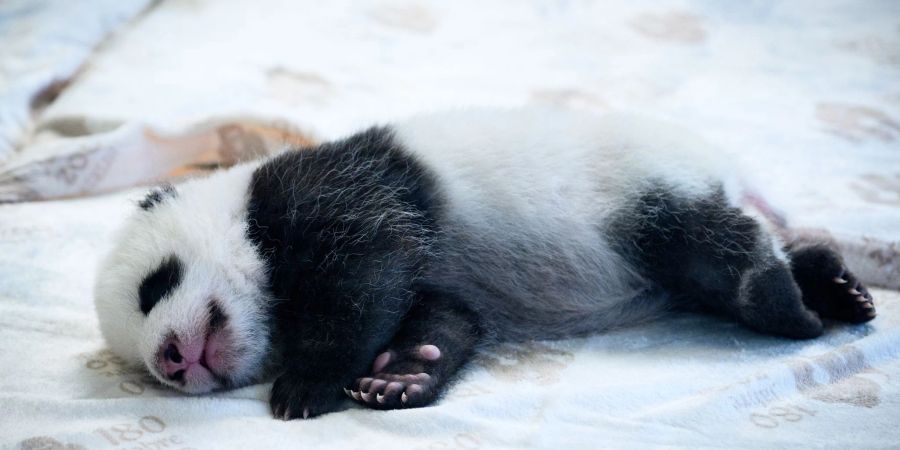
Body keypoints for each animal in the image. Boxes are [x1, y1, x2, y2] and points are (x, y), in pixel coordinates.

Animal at [93, 108, 876, 419]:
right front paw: (401, 376)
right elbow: (444, 317)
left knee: (708, 240)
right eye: (139, 369)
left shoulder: (330, 193)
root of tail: (737, 173)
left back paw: (785, 300)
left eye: (153, 287)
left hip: (641, 184)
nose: (170, 361)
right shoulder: (439, 284)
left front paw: (307, 385)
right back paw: (837, 287)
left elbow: (371, 263)